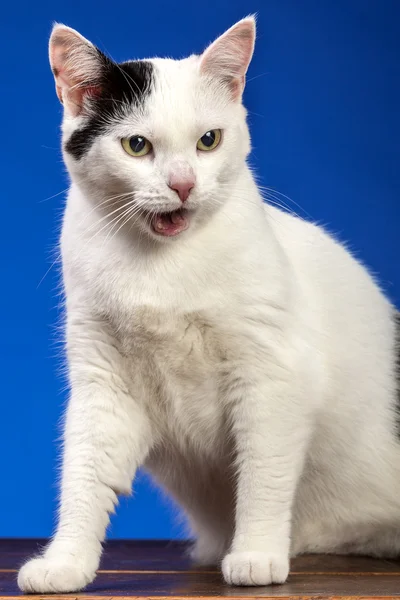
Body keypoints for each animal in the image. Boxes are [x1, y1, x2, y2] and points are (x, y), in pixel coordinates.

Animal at [18, 16, 400, 592]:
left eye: (208, 140)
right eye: (136, 145)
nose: (182, 184)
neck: (163, 266)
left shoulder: (272, 376)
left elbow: (263, 473)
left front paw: (256, 555)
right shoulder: (103, 380)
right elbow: (84, 475)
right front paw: (66, 562)